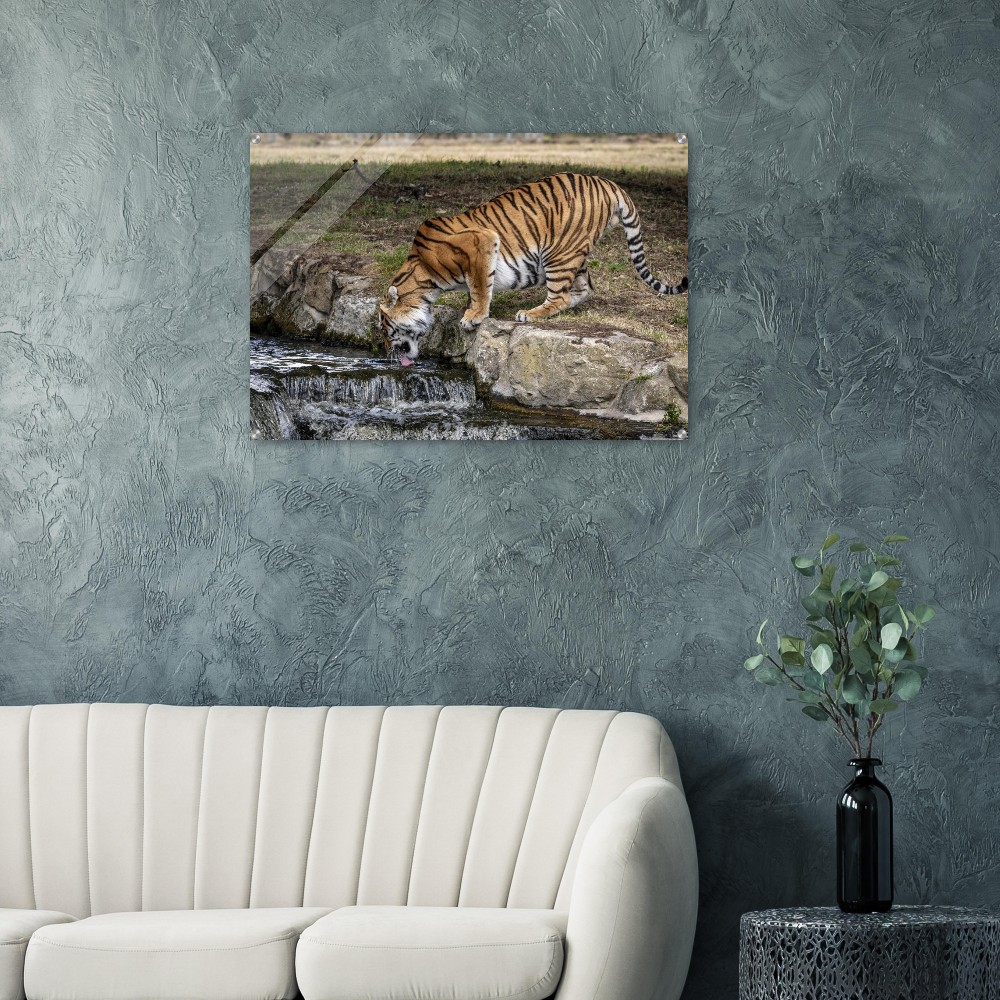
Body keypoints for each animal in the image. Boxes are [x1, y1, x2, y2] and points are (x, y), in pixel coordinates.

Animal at [376, 172, 687, 365]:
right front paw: (469, 310)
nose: (386, 351)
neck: (423, 276)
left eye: (385, 328)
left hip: (557, 252)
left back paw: (530, 313)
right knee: (584, 288)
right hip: (573, 253)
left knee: (560, 296)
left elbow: (479, 287)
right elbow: (477, 288)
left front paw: (473, 317)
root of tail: (608, 182)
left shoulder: (481, 243)